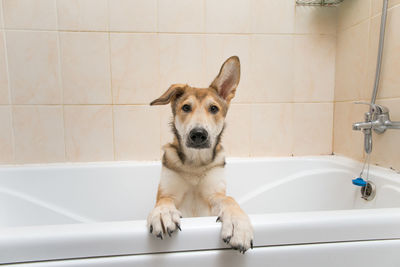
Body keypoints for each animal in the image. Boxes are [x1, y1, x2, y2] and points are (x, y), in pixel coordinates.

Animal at [147, 56, 253, 253]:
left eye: (214, 109)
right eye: (186, 107)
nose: (198, 134)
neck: (195, 164)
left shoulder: (214, 194)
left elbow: (229, 200)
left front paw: (238, 225)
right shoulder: (167, 192)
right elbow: (164, 201)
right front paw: (163, 213)